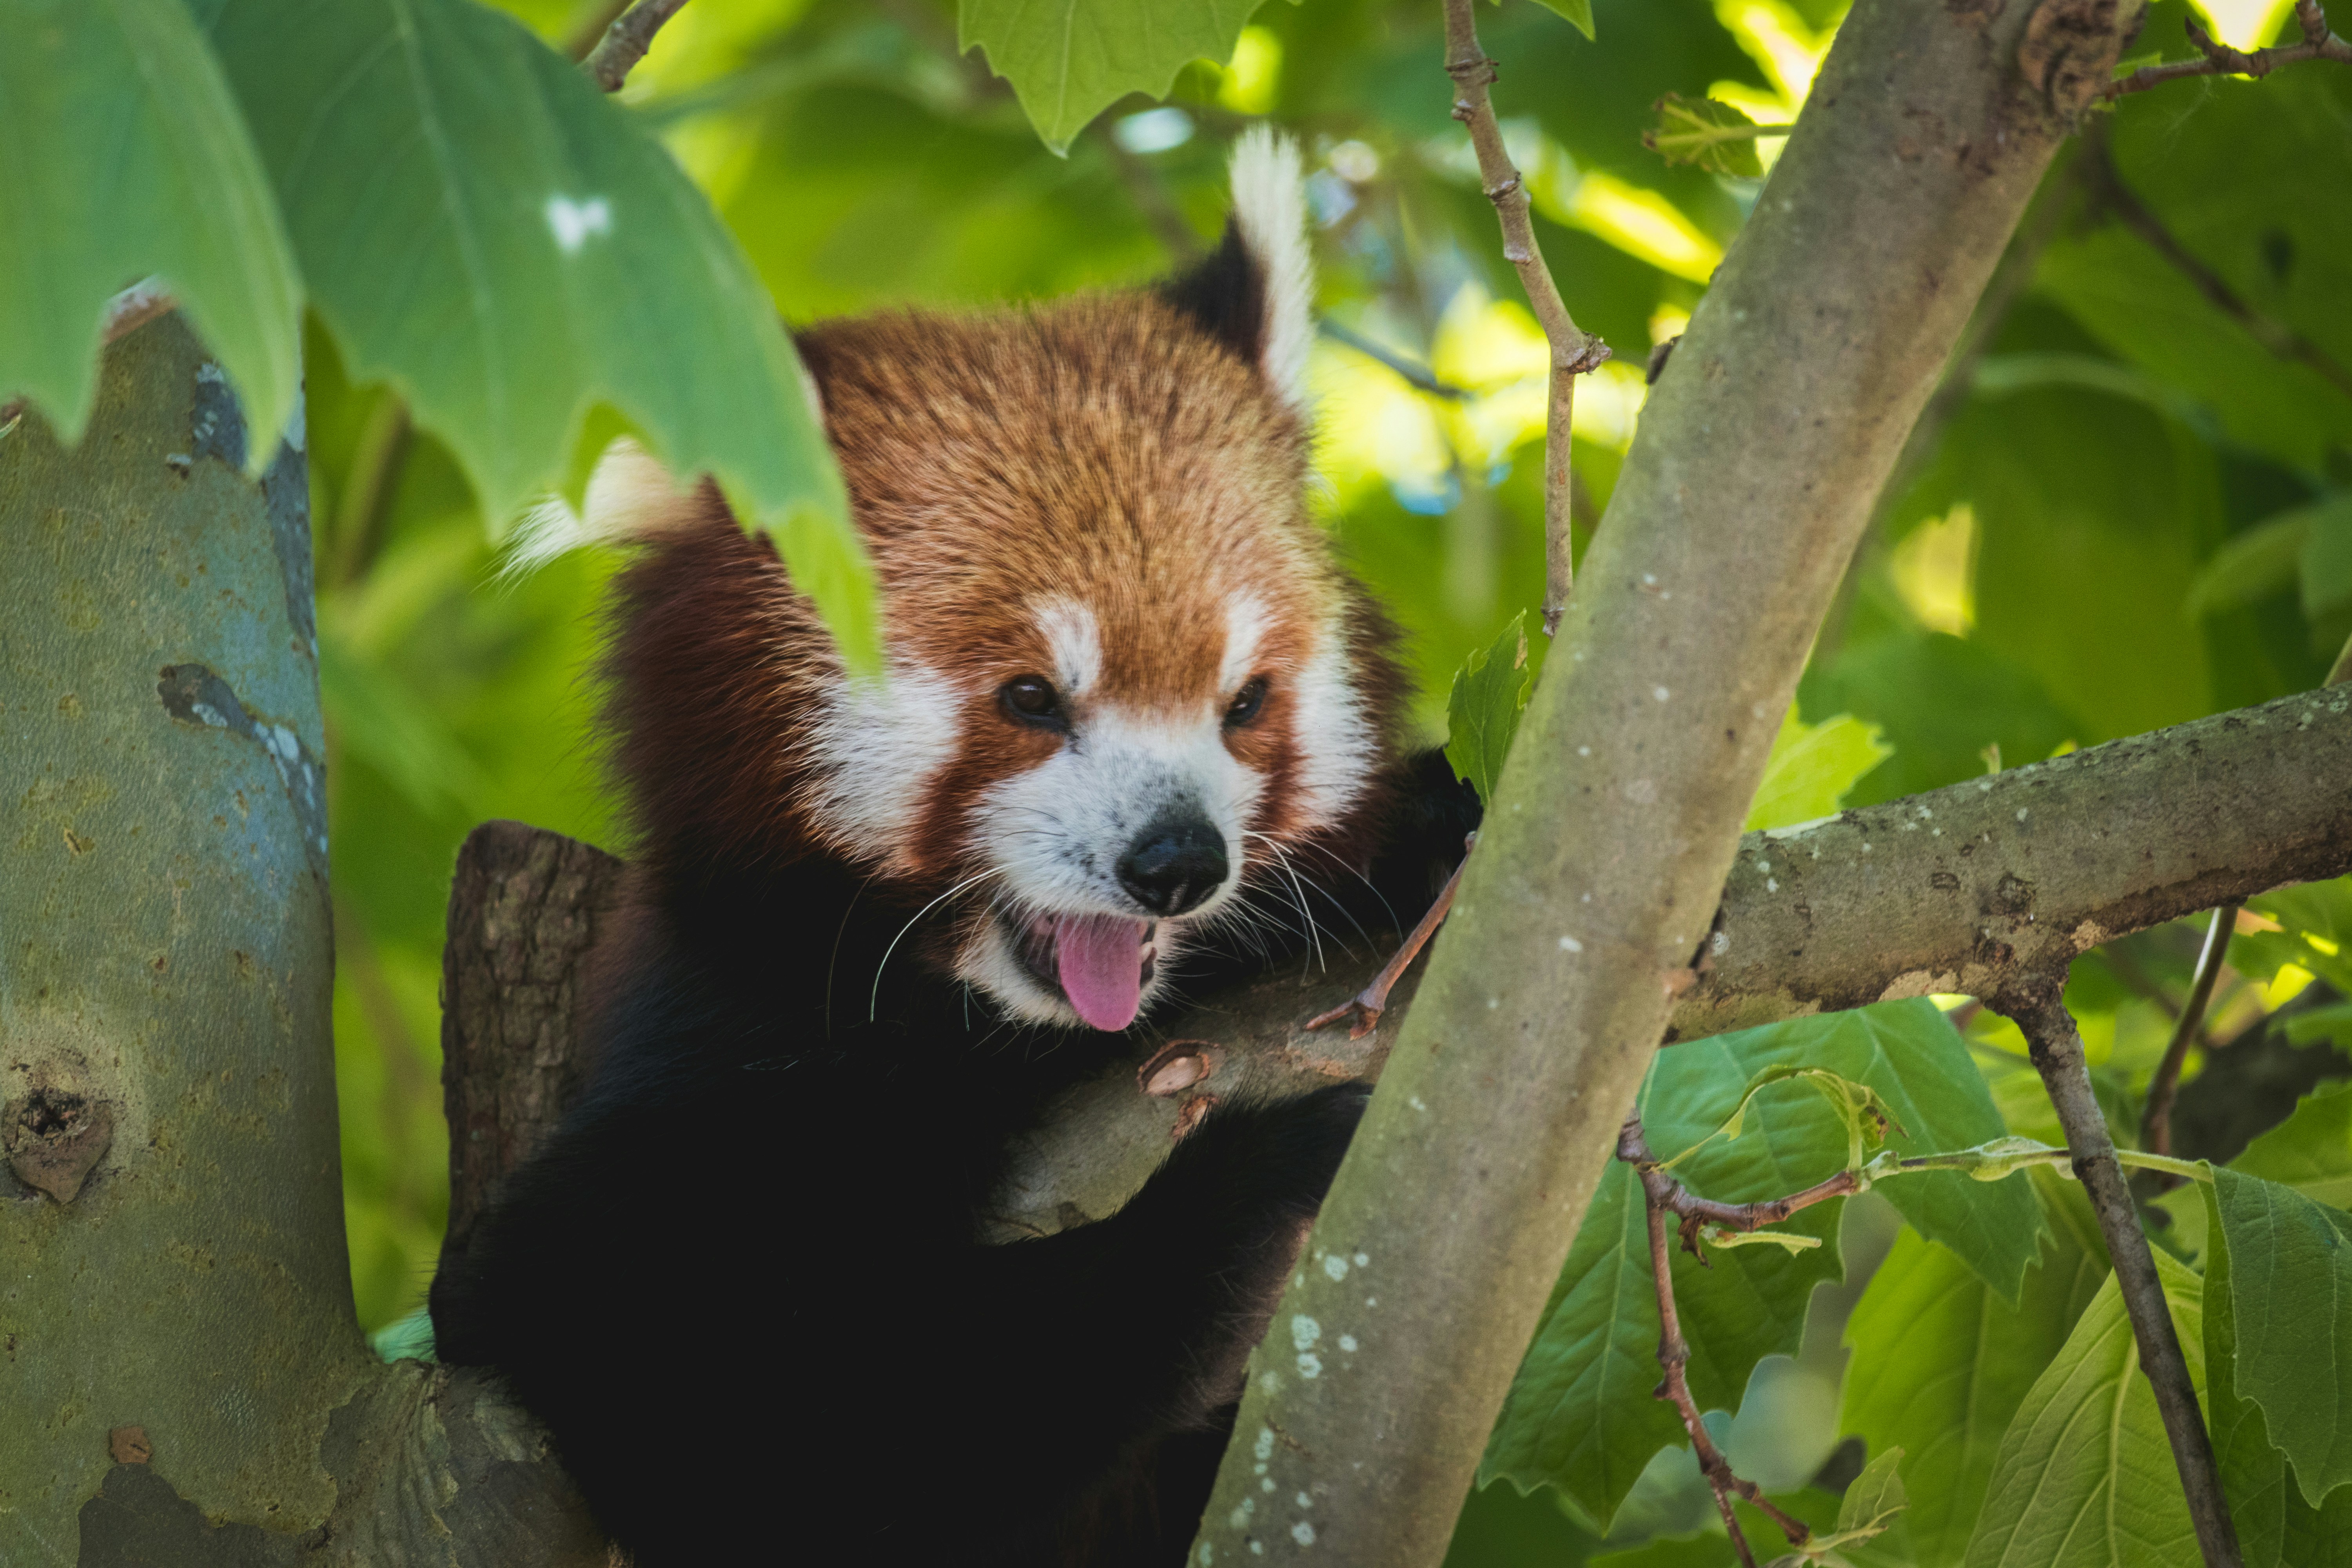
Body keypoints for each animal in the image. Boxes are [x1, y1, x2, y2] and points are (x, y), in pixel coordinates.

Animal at [428, 129, 1479, 1566]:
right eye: (1031, 698)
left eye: (1243, 702)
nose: (1177, 863)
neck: (997, 1031)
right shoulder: (715, 1071)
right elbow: (776, 1421)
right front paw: (1258, 1183)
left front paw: (1432, 828)